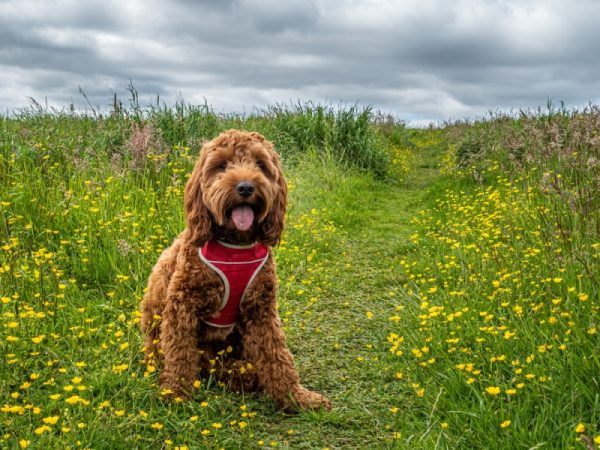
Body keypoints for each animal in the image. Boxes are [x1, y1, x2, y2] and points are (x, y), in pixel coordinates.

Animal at [140, 128, 330, 410]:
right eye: (222, 165)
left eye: (260, 164)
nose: (246, 187)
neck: (234, 245)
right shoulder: (181, 306)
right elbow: (179, 355)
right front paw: (175, 393)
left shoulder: (261, 308)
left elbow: (277, 355)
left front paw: (296, 397)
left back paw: (243, 374)